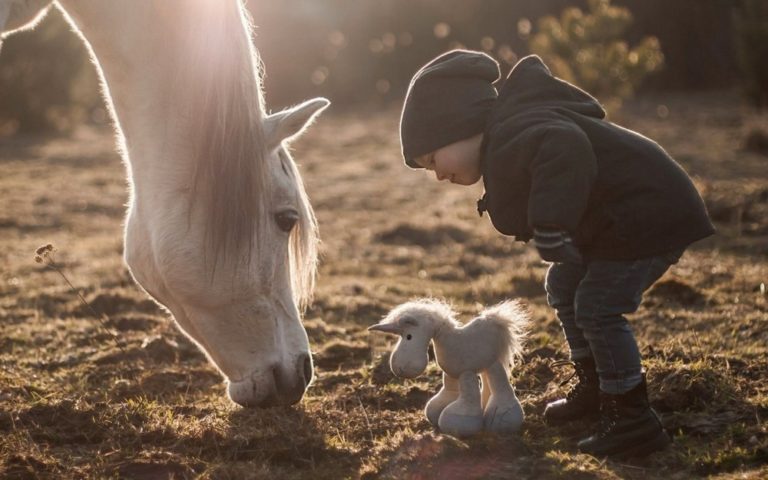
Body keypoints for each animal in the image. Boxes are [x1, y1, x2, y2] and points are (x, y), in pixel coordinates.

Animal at [368, 302, 524, 436]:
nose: (398, 368)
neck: (449, 342)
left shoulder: (466, 373)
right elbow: (448, 392)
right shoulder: (451, 375)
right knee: (487, 383)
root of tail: (496, 320)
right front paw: (438, 409)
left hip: (493, 364)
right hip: (486, 364)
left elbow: (469, 396)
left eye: (409, 336)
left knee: (499, 383)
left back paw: (503, 417)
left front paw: (457, 419)